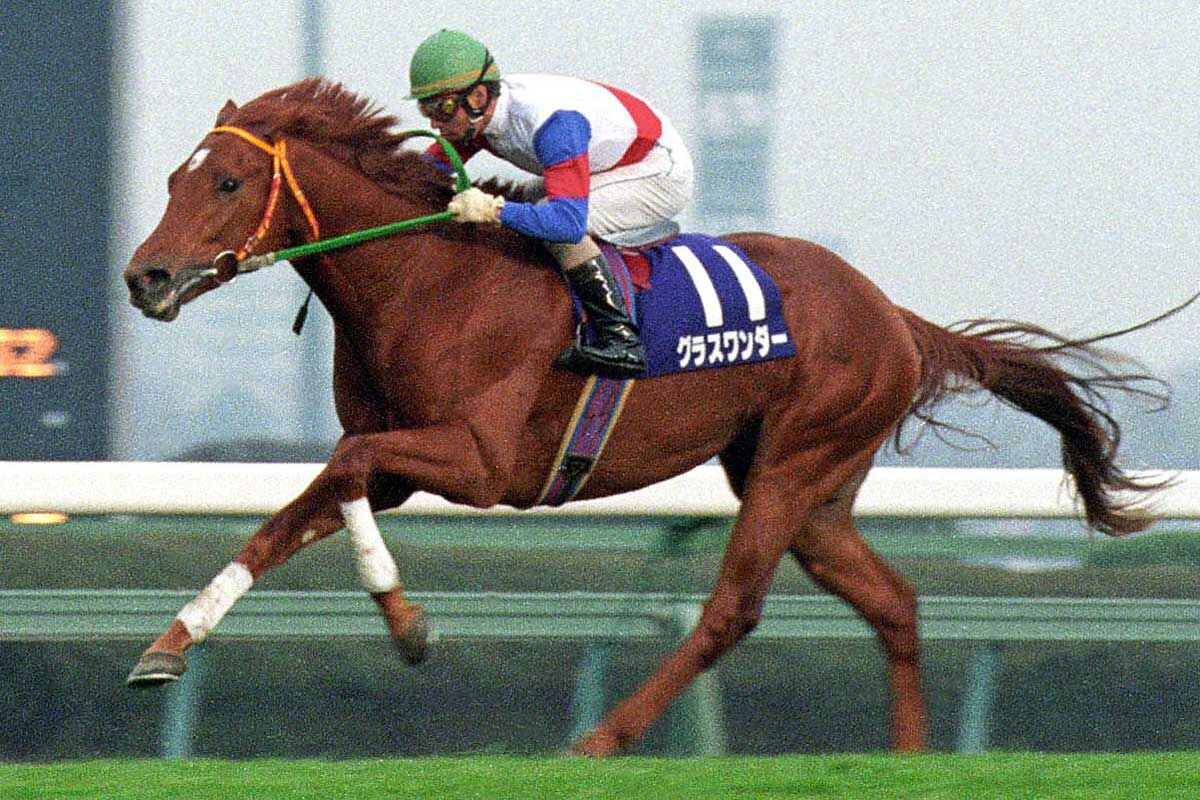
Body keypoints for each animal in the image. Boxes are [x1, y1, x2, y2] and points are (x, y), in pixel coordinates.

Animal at [123, 78, 1167, 756]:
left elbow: (340, 478)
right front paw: (169, 646)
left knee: (732, 610)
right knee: (892, 603)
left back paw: (600, 739)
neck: (422, 274)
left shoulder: (481, 462)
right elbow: (287, 516)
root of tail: (894, 316)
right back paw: (906, 764)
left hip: (795, 462)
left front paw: (409, 624)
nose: (146, 277)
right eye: (176, 178)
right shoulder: (401, 462)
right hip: (814, 488)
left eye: (226, 183)